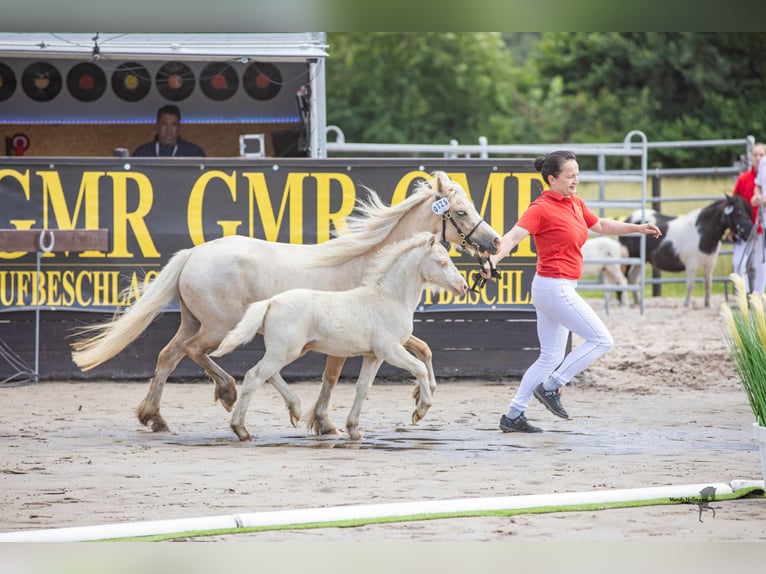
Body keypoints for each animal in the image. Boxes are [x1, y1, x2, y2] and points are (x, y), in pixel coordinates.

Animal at [213, 233, 472, 440]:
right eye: (442, 262)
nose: (464, 287)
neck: (389, 298)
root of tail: (271, 302)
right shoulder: (390, 350)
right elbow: (419, 368)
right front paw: (420, 411)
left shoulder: (374, 356)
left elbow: (363, 387)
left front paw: (354, 430)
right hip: (285, 351)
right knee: (253, 376)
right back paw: (241, 430)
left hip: (289, 350)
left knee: (265, 374)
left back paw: (294, 411)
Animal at [620, 195, 752, 310]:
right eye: (738, 213)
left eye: (748, 212)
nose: (749, 231)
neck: (702, 232)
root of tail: (628, 218)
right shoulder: (691, 264)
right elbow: (690, 285)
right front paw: (687, 304)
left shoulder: (709, 263)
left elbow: (708, 284)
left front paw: (708, 304)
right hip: (629, 259)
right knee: (624, 279)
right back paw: (625, 303)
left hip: (640, 260)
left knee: (632, 279)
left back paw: (637, 302)